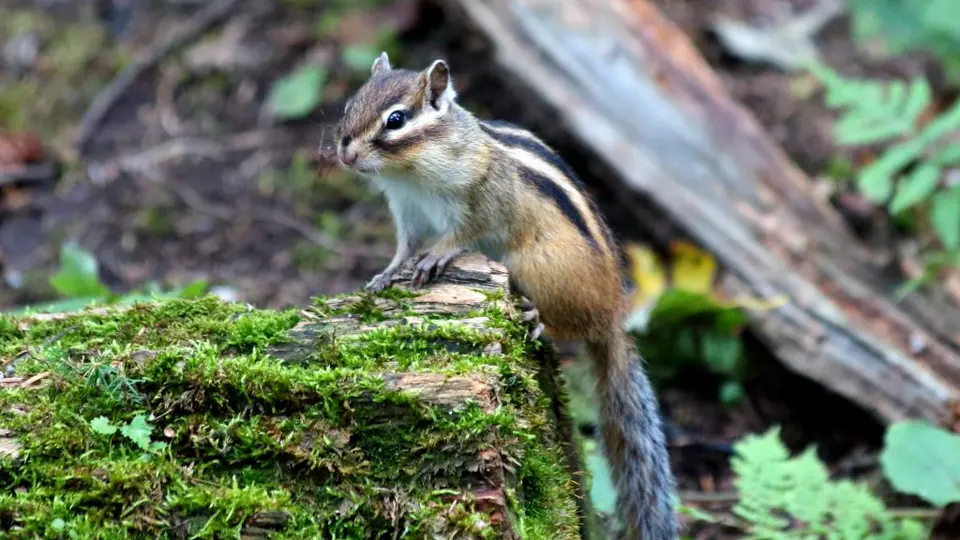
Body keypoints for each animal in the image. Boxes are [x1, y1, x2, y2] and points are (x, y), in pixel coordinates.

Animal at [329, 52, 678, 539]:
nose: (344, 152)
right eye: (350, 104)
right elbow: (404, 245)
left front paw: (436, 256)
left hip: (538, 269)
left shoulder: (481, 201)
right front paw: (386, 273)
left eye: (396, 120)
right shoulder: (406, 209)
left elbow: (462, 234)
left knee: (566, 325)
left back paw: (537, 318)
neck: (410, 173)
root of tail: (611, 314)